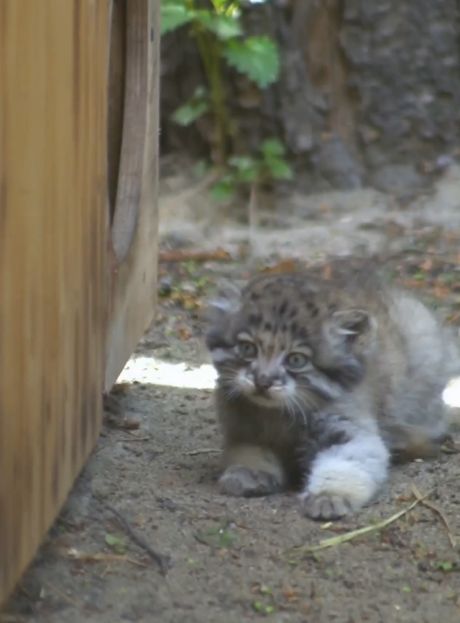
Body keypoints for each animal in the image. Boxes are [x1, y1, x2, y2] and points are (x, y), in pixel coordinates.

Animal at [207, 270, 458, 520]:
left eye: (296, 360)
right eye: (247, 348)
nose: (263, 382)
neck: (280, 414)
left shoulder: (349, 428)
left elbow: (346, 462)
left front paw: (329, 495)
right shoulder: (243, 430)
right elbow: (248, 451)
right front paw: (248, 471)